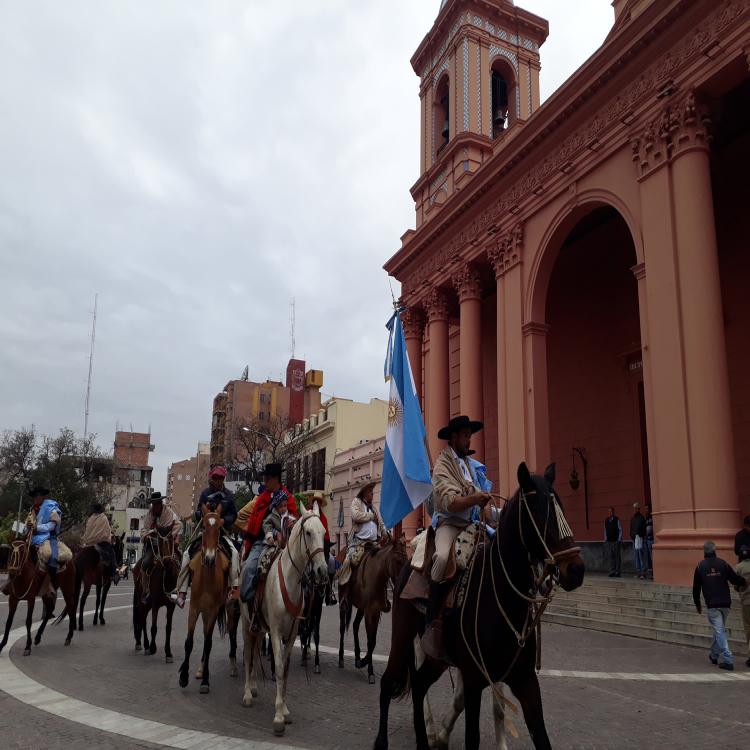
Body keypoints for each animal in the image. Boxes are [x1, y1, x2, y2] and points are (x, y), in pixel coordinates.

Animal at [133, 528, 178, 664]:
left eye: (172, 540)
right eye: (160, 542)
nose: (167, 561)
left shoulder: (171, 606)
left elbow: (168, 628)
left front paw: (168, 653)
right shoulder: (155, 605)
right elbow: (154, 627)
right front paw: (153, 647)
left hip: (147, 605)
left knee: (142, 619)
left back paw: (144, 644)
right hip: (143, 602)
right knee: (142, 619)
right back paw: (144, 644)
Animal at [178, 508, 229, 696]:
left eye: (220, 527)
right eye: (205, 526)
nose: (209, 559)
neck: (207, 576)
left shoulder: (213, 611)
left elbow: (208, 644)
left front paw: (206, 681)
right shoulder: (193, 608)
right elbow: (188, 642)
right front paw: (183, 676)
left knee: (208, 639)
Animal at [238, 508, 326, 736]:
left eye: (323, 532)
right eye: (308, 532)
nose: (322, 571)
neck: (289, 580)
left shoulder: (292, 633)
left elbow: (285, 670)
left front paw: (285, 710)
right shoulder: (277, 633)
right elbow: (277, 667)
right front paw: (278, 716)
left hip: (260, 627)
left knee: (256, 650)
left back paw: (253, 686)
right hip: (246, 623)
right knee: (248, 654)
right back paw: (247, 694)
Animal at [340, 536, 412, 684]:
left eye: (407, 559)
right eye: (398, 561)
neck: (377, 576)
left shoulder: (375, 612)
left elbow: (372, 642)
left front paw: (363, 662)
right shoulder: (370, 613)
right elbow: (370, 642)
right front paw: (370, 670)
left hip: (361, 608)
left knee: (355, 626)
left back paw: (357, 657)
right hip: (344, 604)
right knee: (342, 628)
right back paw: (341, 658)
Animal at [374, 464, 588, 750]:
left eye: (562, 508)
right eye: (539, 513)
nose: (576, 570)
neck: (503, 600)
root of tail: (409, 565)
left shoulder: (525, 680)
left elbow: (539, 735)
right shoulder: (474, 678)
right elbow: (472, 736)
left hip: (436, 658)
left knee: (418, 685)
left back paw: (424, 739)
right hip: (403, 636)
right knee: (389, 682)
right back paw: (384, 741)